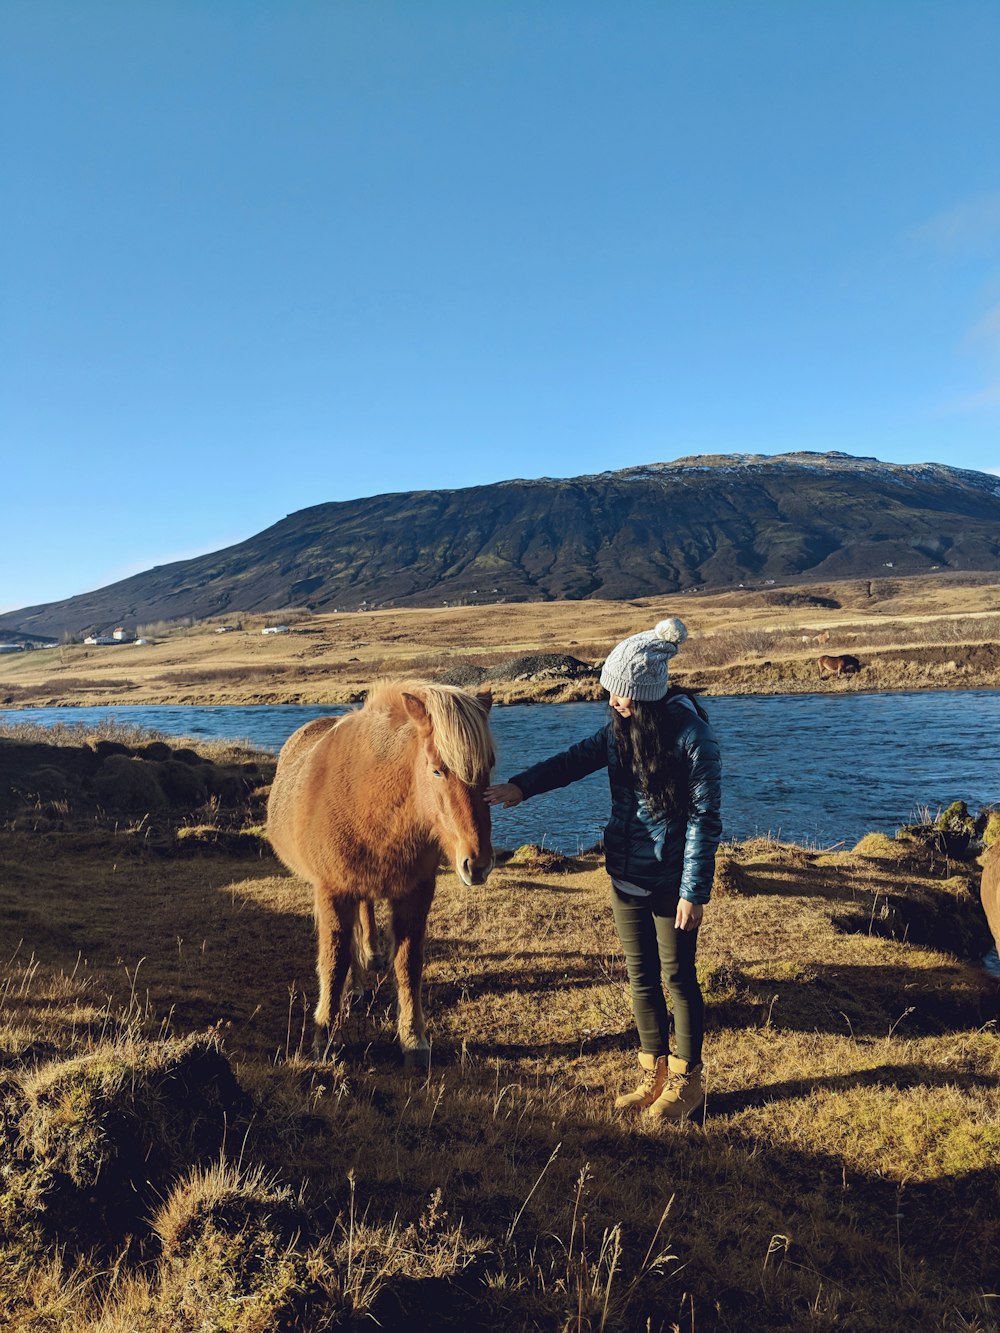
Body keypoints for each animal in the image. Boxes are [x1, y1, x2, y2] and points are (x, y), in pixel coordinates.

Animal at [266, 682, 498, 1066]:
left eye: (489, 768)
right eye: (437, 770)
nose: (477, 863)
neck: (371, 799)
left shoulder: (415, 893)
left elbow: (407, 963)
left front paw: (413, 1039)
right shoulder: (334, 891)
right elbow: (334, 961)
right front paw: (324, 1038)